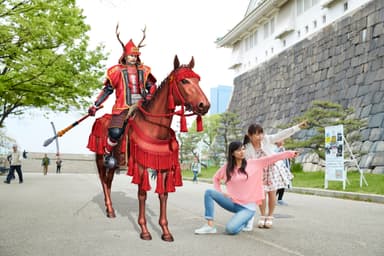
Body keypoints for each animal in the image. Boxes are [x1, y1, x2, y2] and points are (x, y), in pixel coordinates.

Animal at [87, 55, 210, 241]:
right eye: (184, 81)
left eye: (198, 80)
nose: (205, 105)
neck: (154, 127)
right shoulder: (140, 165)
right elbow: (142, 194)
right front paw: (144, 230)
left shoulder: (163, 166)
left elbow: (163, 195)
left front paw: (166, 232)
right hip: (100, 159)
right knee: (103, 181)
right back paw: (110, 209)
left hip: (114, 165)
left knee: (108, 182)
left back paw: (110, 209)